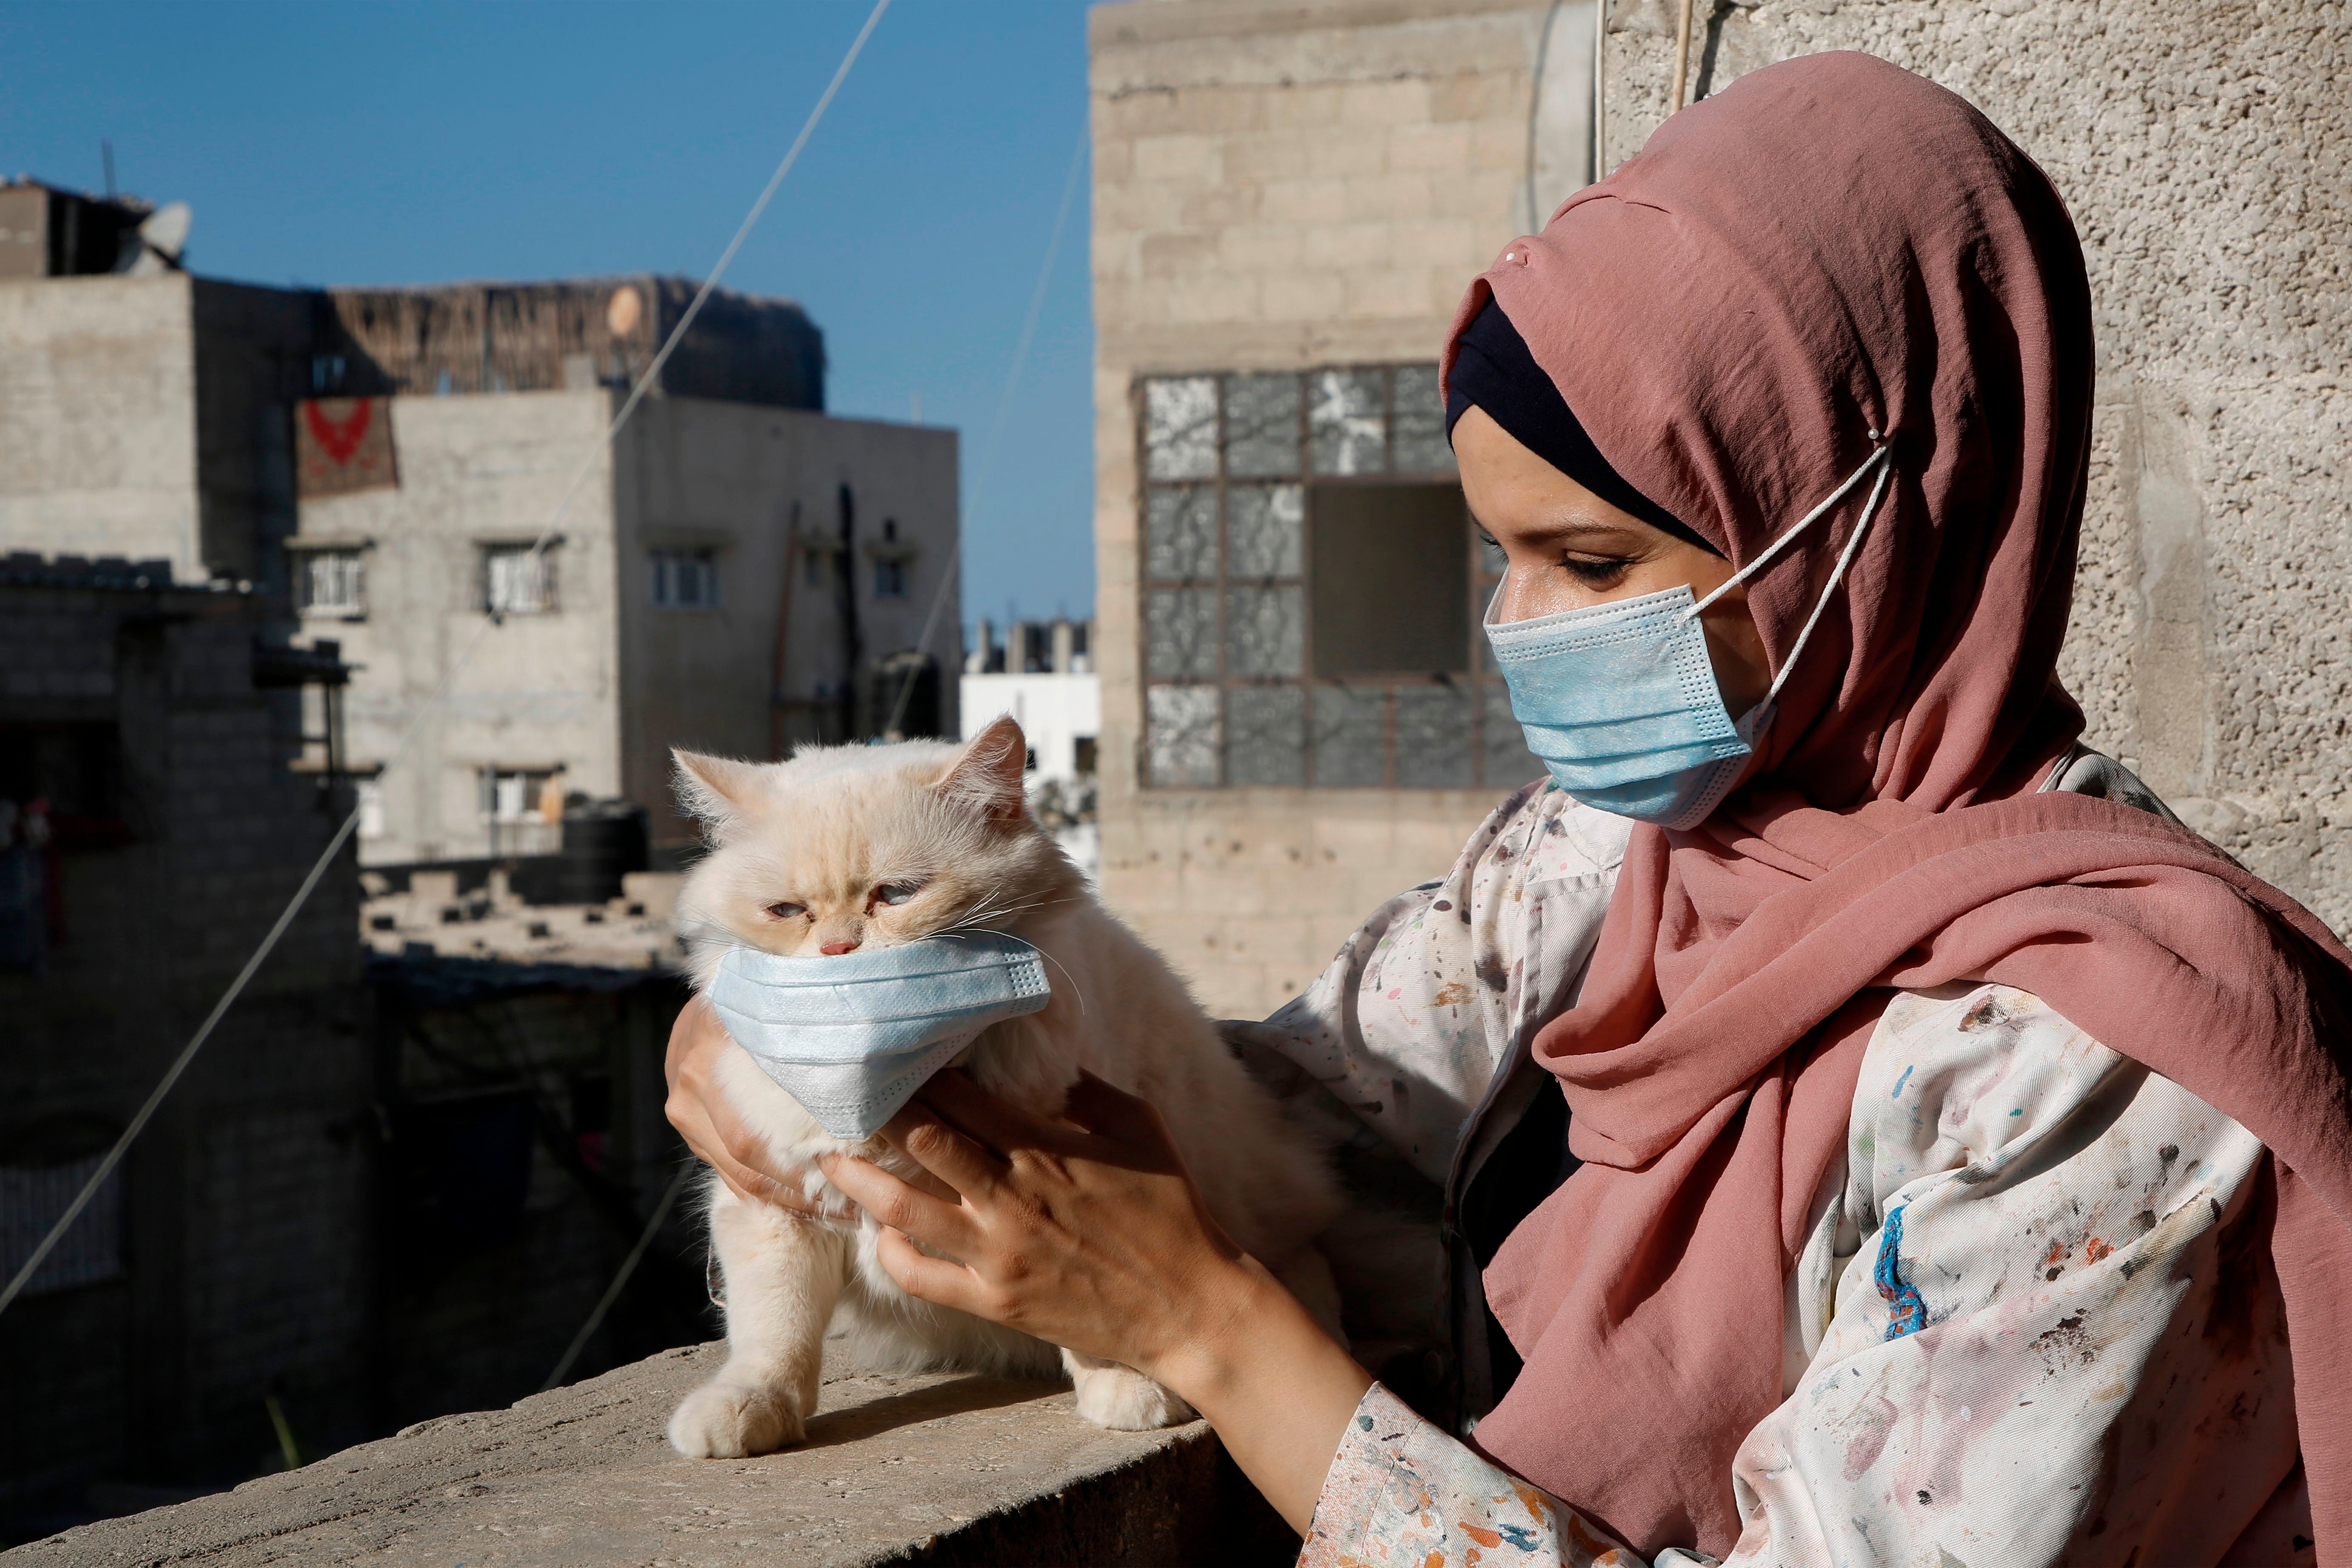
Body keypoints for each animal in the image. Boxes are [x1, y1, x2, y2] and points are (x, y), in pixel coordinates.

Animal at [663, 714, 1345, 1457]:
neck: (889, 1084)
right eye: (788, 910)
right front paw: (749, 1406)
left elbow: (1095, 1315)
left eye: (895, 895)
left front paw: (1129, 1388)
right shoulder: (774, 1206)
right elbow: (773, 1330)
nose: (837, 951)